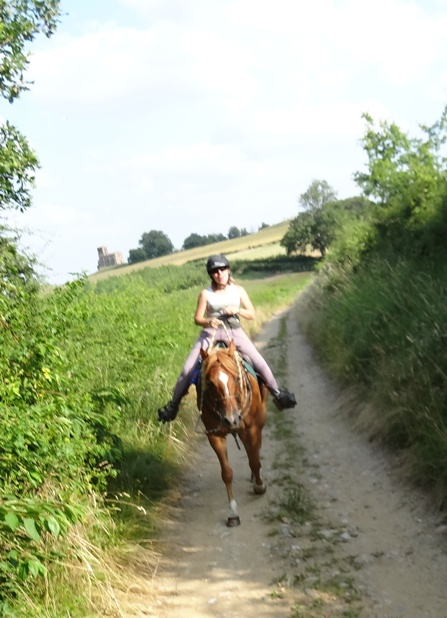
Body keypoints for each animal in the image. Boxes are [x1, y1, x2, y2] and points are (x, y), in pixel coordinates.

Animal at [198, 336, 268, 524]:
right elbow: (227, 473)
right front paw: (233, 512)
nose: (231, 419)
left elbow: (255, 461)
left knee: (255, 451)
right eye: (210, 383)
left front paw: (259, 486)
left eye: (237, 378)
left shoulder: (252, 429)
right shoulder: (215, 436)